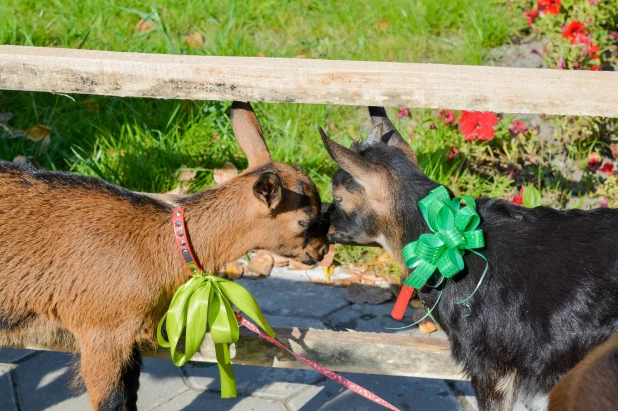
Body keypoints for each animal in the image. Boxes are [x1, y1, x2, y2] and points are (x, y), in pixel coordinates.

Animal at [0, 101, 328, 410]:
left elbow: (131, 394)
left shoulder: (129, 339)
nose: (322, 251)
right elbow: (111, 400)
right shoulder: (100, 334)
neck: (155, 247)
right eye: (303, 221)